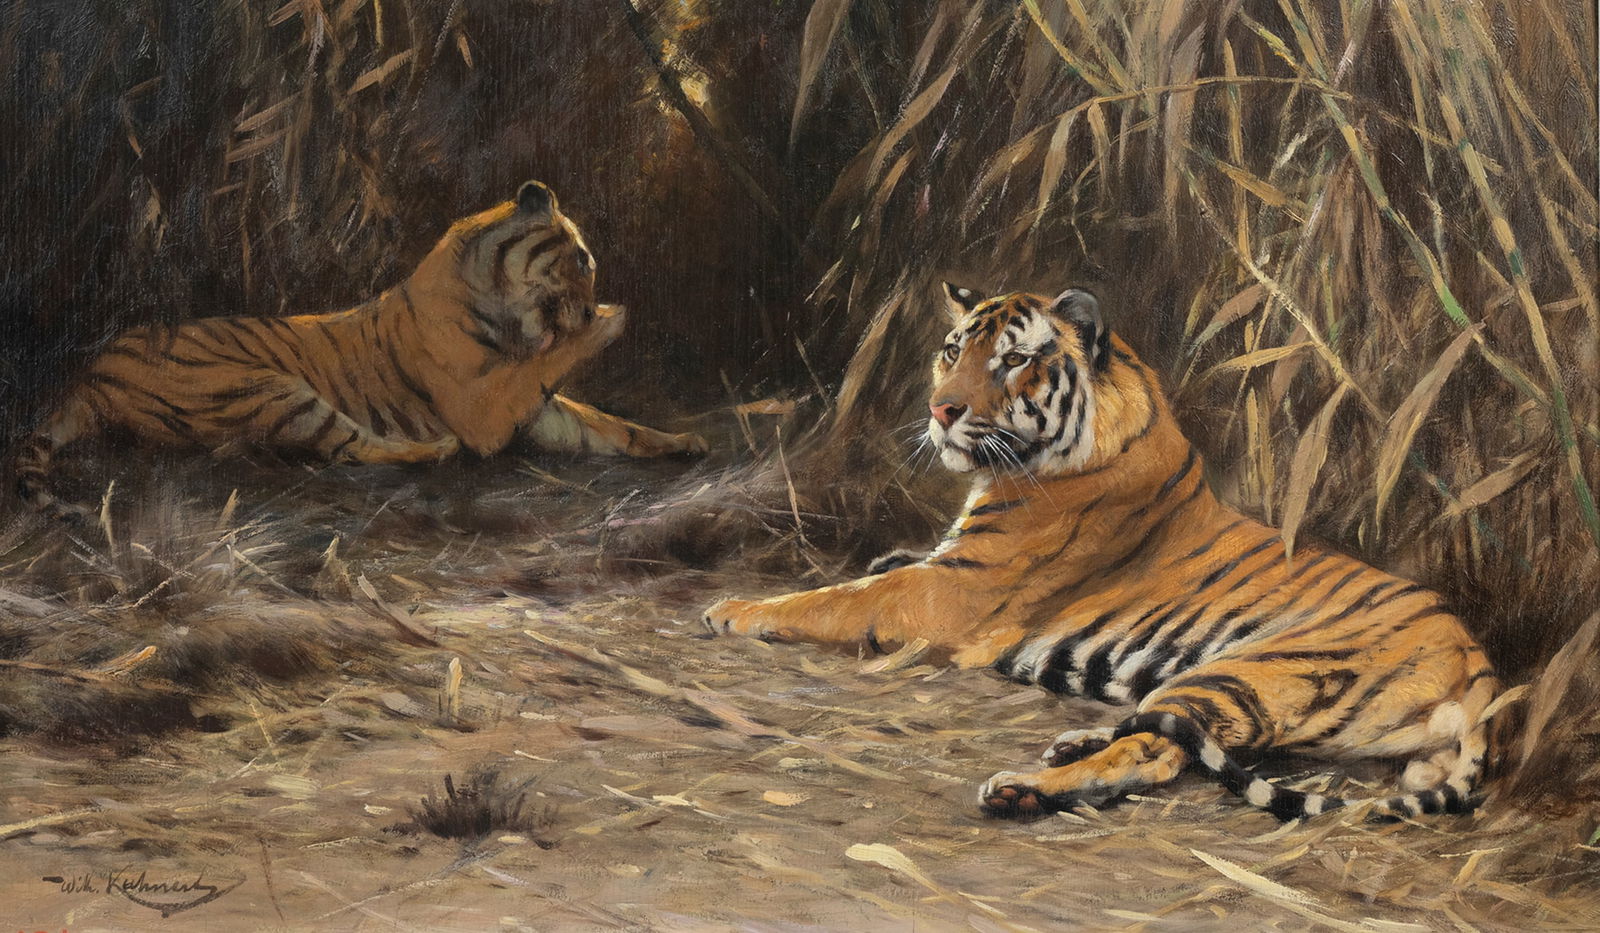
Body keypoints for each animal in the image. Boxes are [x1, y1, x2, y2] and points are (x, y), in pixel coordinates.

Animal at [15, 180, 707, 519]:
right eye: (582, 260)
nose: (588, 307)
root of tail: (89, 371)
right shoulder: (485, 406)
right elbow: (550, 364)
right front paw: (611, 321)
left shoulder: (536, 409)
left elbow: (612, 425)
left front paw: (684, 442)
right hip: (270, 390)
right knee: (350, 448)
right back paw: (433, 450)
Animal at [706, 284, 1500, 822]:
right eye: (952, 350)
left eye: (1013, 359)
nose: (940, 410)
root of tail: (1480, 666)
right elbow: (880, 569)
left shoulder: (952, 593)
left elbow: (839, 598)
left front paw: (733, 609)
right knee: (1166, 730)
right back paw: (1070, 743)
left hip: (1247, 670)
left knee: (1158, 751)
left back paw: (1027, 786)